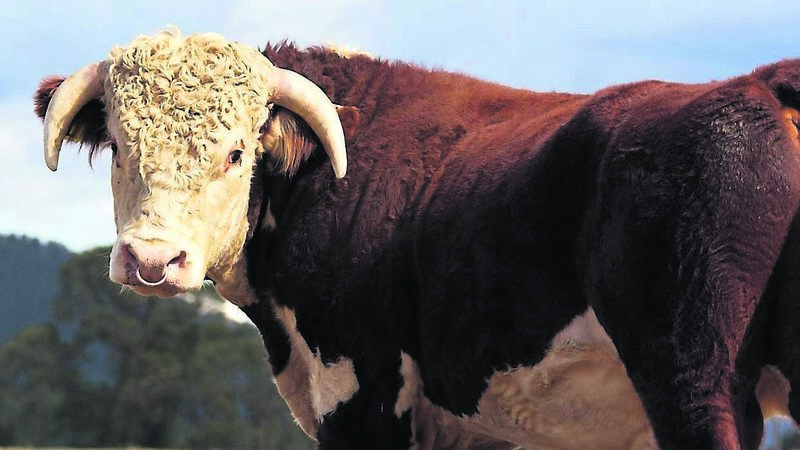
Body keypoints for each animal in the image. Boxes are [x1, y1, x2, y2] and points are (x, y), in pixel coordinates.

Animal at [34, 27, 800, 449]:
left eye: (234, 154)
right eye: (120, 148)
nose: (152, 259)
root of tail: (758, 86)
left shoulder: (361, 397)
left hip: (691, 383)